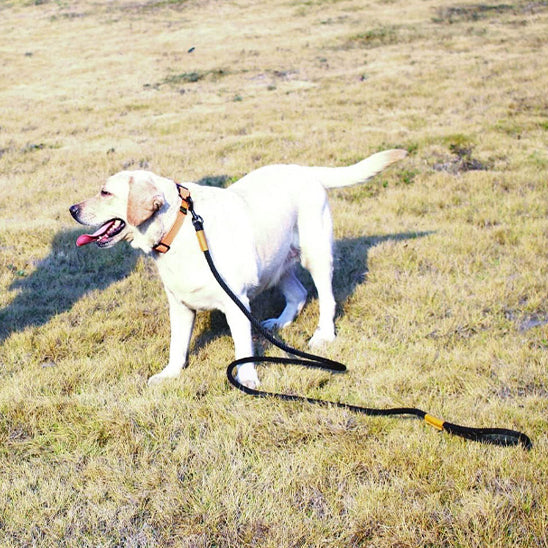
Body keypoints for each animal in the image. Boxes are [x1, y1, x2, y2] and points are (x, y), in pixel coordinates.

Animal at [70, 150, 406, 388]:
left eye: (105, 193)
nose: (72, 209)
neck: (180, 228)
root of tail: (304, 169)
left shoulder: (236, 303)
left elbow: (243, 348)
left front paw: (247, 379)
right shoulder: (180, 305)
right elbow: (177, 346)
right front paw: (170, 374)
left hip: (316, 254)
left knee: (326, 298)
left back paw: (323, 335)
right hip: (275, 262)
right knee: (297, 293)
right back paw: (278, 323)